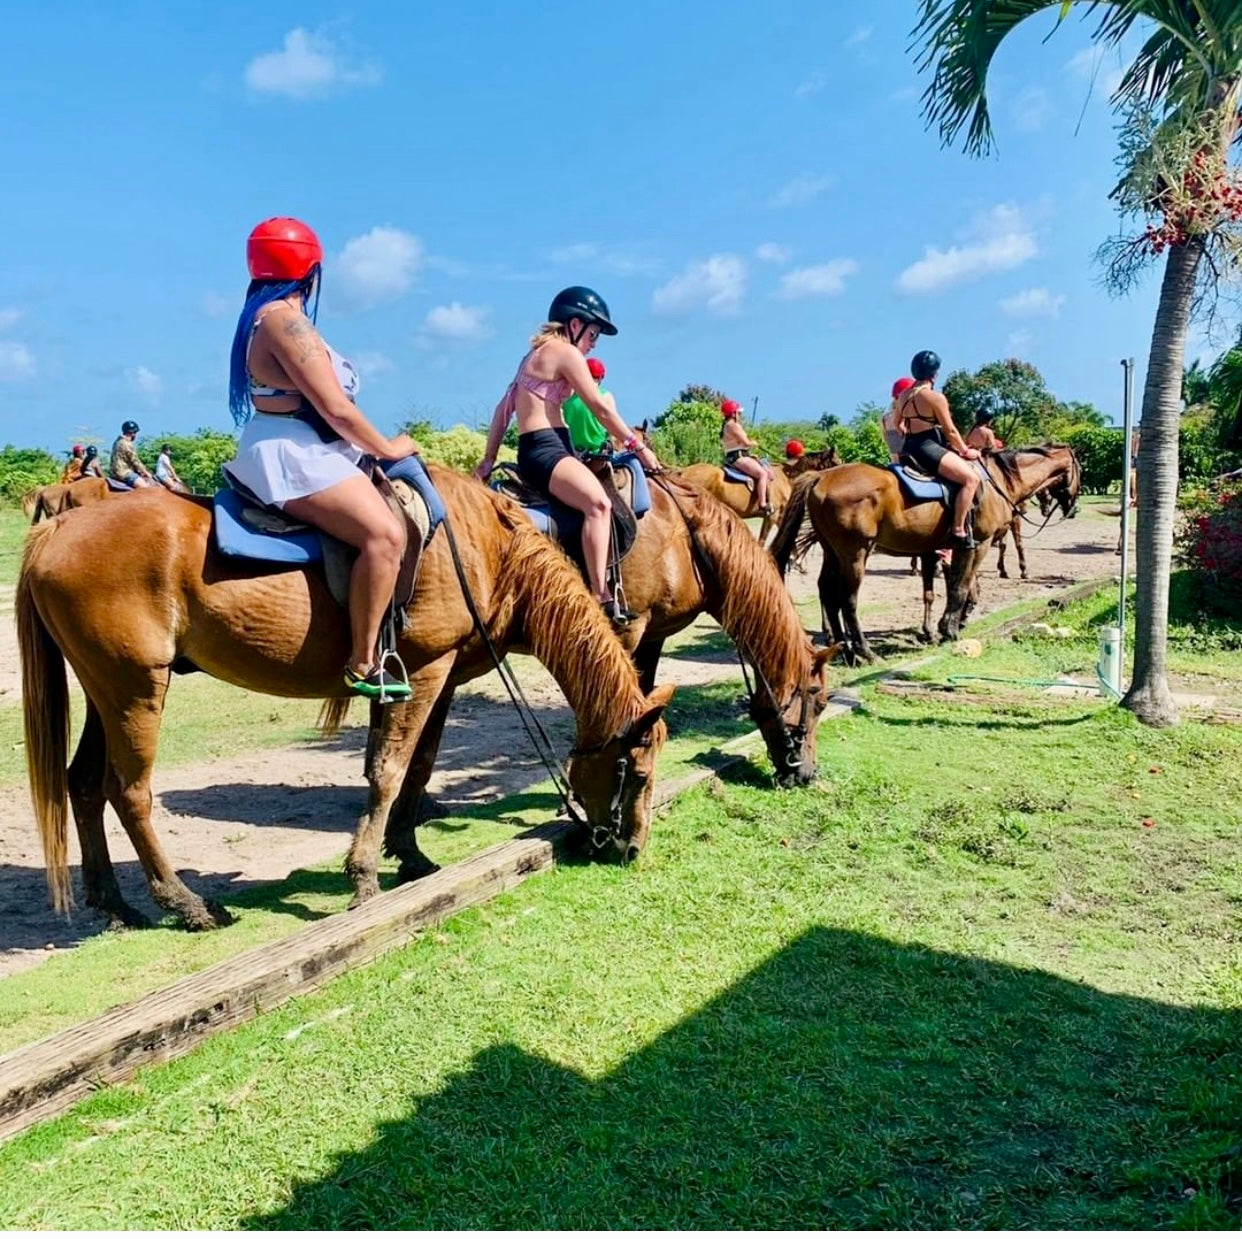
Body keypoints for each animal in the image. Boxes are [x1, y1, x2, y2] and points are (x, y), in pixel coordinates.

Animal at [19, 471, 675, 933]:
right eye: (635, 772)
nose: (630, 848)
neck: (485, 548)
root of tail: (59, 530)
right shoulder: (426, 670)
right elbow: (388, 770)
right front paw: (364, 877)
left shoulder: (436, 677)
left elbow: (418, 766)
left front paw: (409, 854)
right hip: (134, 688)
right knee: (128, 792)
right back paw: (186, 903)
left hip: (106, 687)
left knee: (83, 784)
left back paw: (114, 903)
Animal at [770, 444, 1083, 665]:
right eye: (1080, 469)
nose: (1071, 507)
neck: (995, 482)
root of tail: (821, 477)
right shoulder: (976, 544)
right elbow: (961, 586)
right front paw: (950, 629)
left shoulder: (937, 550)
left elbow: (942, 589)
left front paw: (940, 628)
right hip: (855, 553)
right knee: (847, 600)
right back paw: (864, 651)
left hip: (833, 551)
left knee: (828, 592)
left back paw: (846, 651)